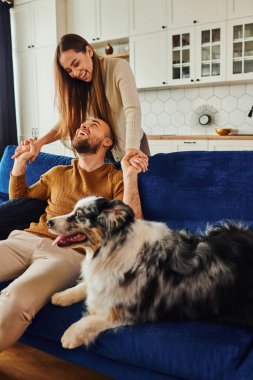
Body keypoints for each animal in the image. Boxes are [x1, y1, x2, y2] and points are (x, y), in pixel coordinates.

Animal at [46, 197, 253, 348]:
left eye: (78, 215)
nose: (48, 221)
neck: (112, 247)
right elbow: (85, 285)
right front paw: (62, 296)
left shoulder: (128, 309)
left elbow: (93, 319)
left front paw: (71, 334)